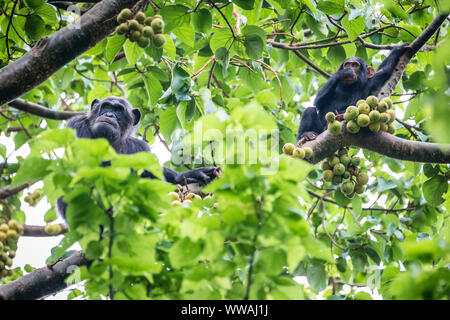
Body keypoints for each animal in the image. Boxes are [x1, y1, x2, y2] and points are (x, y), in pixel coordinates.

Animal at [57, 96, 219, 218]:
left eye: (119, 111)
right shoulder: (77, 126)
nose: (109, 115)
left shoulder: (140, 147)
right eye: (106, 107)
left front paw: (189, 175)